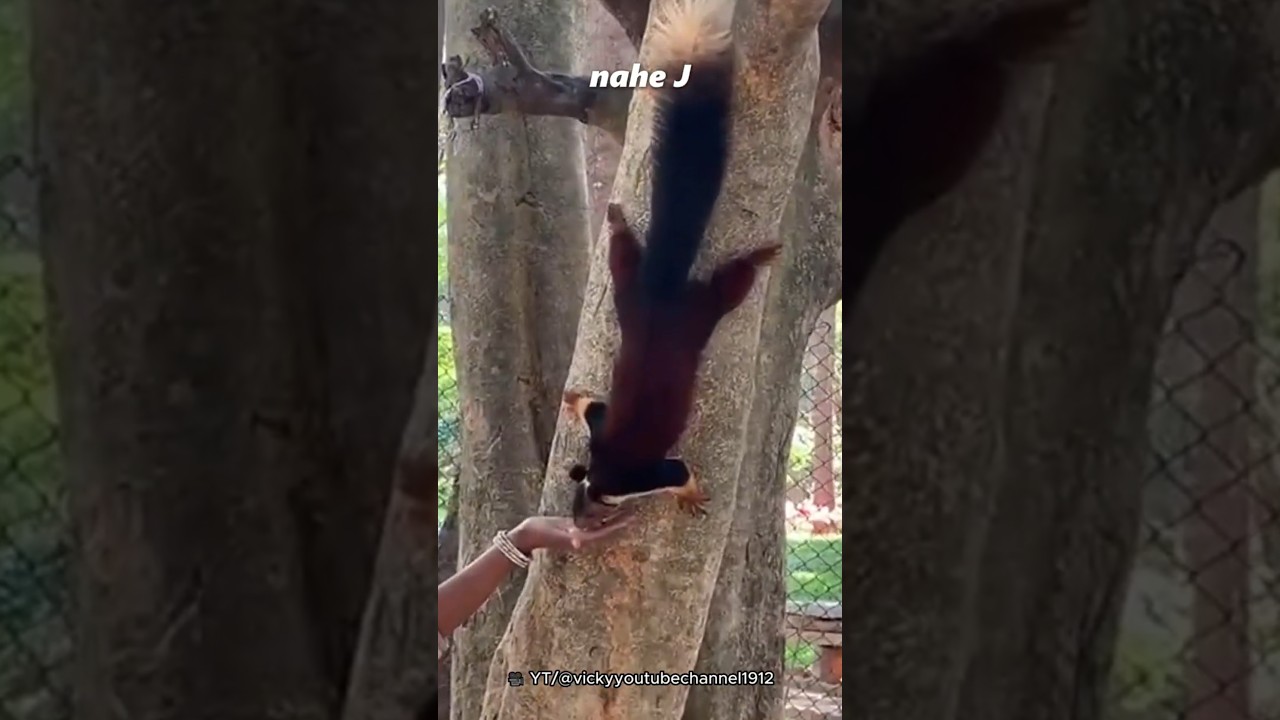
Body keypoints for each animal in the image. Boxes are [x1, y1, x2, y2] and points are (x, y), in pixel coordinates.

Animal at [563, 0, 781, 529]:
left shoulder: (644, 472)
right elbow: (594, 407)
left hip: (698, 311)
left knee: (730, 286)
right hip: (630, 295)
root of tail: (662, 289)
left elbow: (679, 471)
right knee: (623, 256)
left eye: (594, 518)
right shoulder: (603, 430)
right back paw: (618, 220)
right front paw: (573, 399)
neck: (607, 469)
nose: (578, 527)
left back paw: (760, 256)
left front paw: (691, 496)